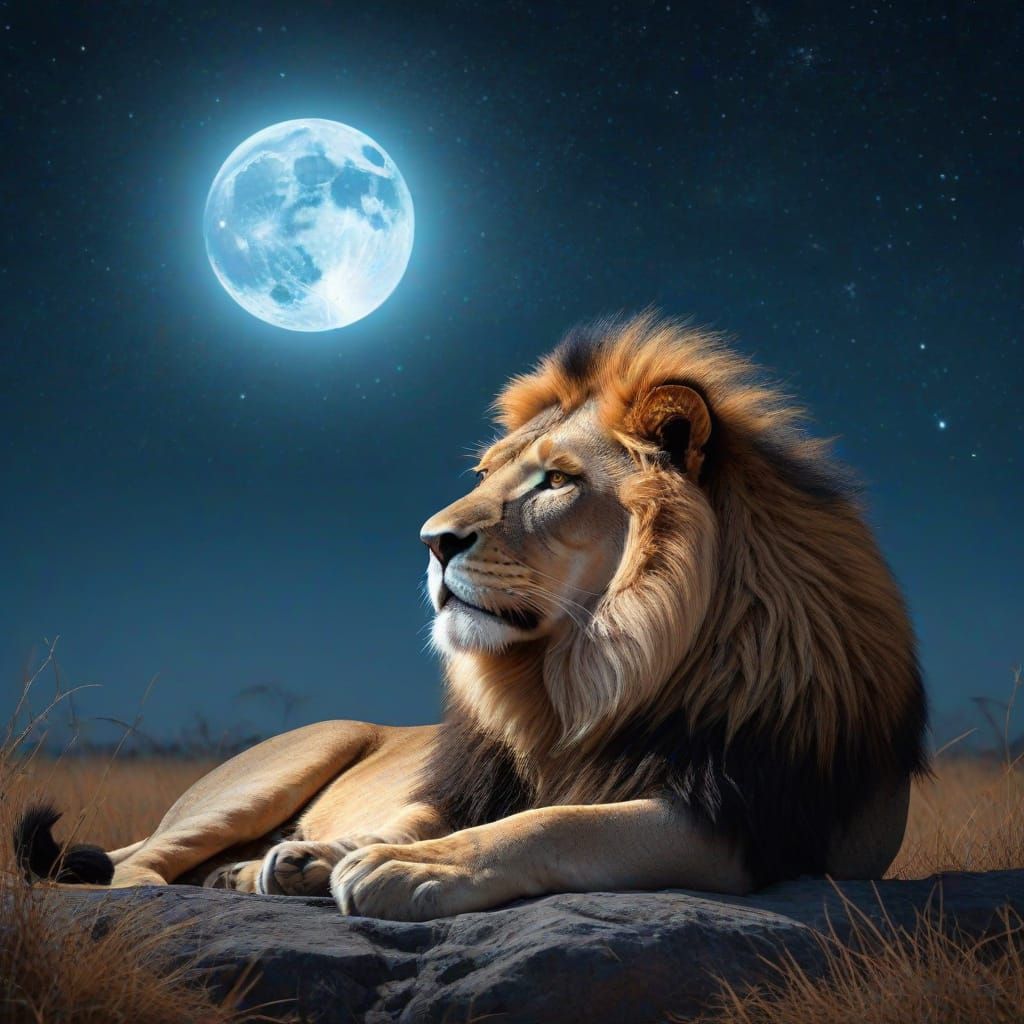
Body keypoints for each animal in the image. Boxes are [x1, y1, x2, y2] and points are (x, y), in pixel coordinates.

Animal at [17, 312, 929, 921]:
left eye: (556, 481)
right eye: (489, 473)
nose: (432, 540)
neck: (583, 673)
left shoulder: (741, 816)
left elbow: (555, 823)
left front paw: (404, 869)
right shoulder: (471, 777)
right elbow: (421, 813)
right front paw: (340, 854)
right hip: (293, 757)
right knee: (134, 867)